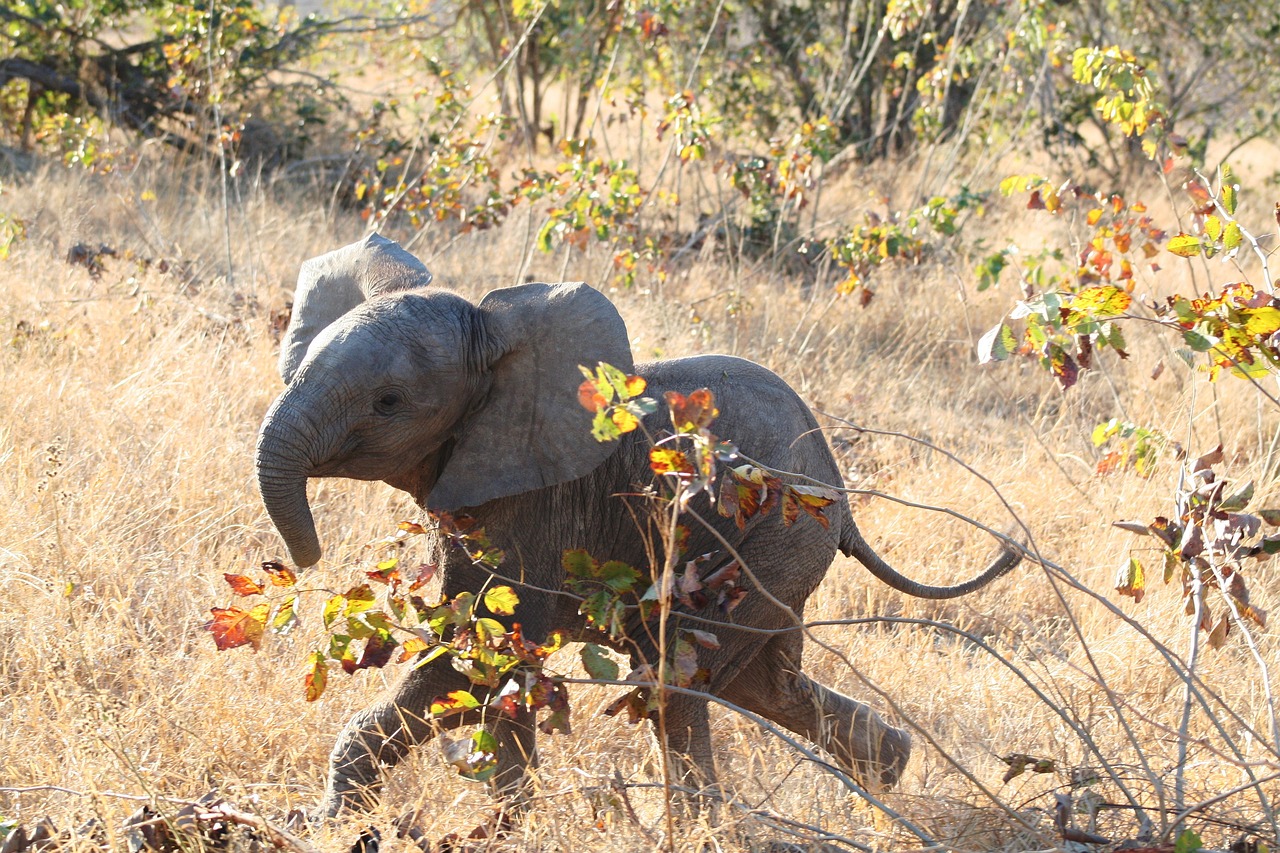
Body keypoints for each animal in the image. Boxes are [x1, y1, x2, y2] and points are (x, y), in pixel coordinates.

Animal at [255, 233, 1021, 818]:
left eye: (388, 402)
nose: (303, 560)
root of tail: (842, 492)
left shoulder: (536, 503)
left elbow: (483, 653)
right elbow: (485, 660)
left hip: (776, 540)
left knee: (677, 681)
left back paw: (702, 824)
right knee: (759, 684)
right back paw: (890, 773)